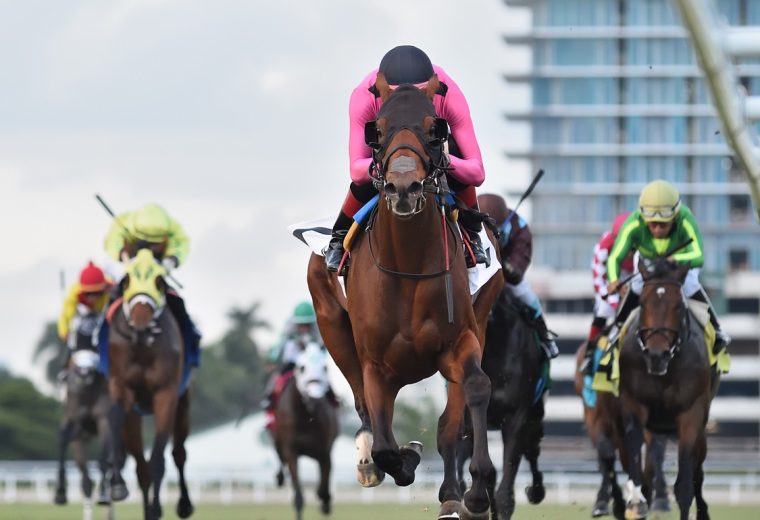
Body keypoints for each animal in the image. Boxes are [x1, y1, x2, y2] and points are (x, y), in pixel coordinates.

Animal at [55, 308, 112, 512]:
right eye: (75, 336)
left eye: (96, 340)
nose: (84, 372)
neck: (88, 390)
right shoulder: (75, 421)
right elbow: (63, 440)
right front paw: (60, 493)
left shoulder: (104, 420)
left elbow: (103, 459)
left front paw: (103, 495)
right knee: (86, 479)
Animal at [106, 249, 194, 520]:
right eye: (126, 280)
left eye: (159, 281)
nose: (142, 329)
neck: (143, 347)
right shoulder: (122, 387)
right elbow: (116, 425)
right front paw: (116, 486)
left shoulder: (166, 393)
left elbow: (159, 456)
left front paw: (157, 507)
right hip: (135, 416)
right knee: (140, 467)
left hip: (183, 404)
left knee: (178, 453)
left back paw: (183, 504)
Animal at [270, 342, 336, 520]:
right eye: (302, 367)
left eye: (325, 368)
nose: (315, 398)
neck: (307, 416)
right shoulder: (291, 451)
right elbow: (298, 494)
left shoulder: (324, 450)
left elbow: (324, 486)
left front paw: (325, 502)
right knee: (280, 459)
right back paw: (279, 477)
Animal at [304, 73, 504, 520]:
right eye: (376, 131)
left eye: (435, 131)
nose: (403, 187)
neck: (409, 266)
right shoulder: (376, 364)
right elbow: (384, 445)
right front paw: (401, 458)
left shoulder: (460, 340)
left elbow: (475, 389)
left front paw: (477, 488)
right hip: (332, 324)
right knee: (364, 409)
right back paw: (368, 461)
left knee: (450, 423)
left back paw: (452, 494)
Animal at [616, 256, 720, 520]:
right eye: (642, 302)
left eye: (678, 306)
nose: (656, 355)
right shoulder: (634, 403)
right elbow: (638, 467)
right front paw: (635, 501)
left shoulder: (691, 413)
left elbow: (684, 486)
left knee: (697, 473)